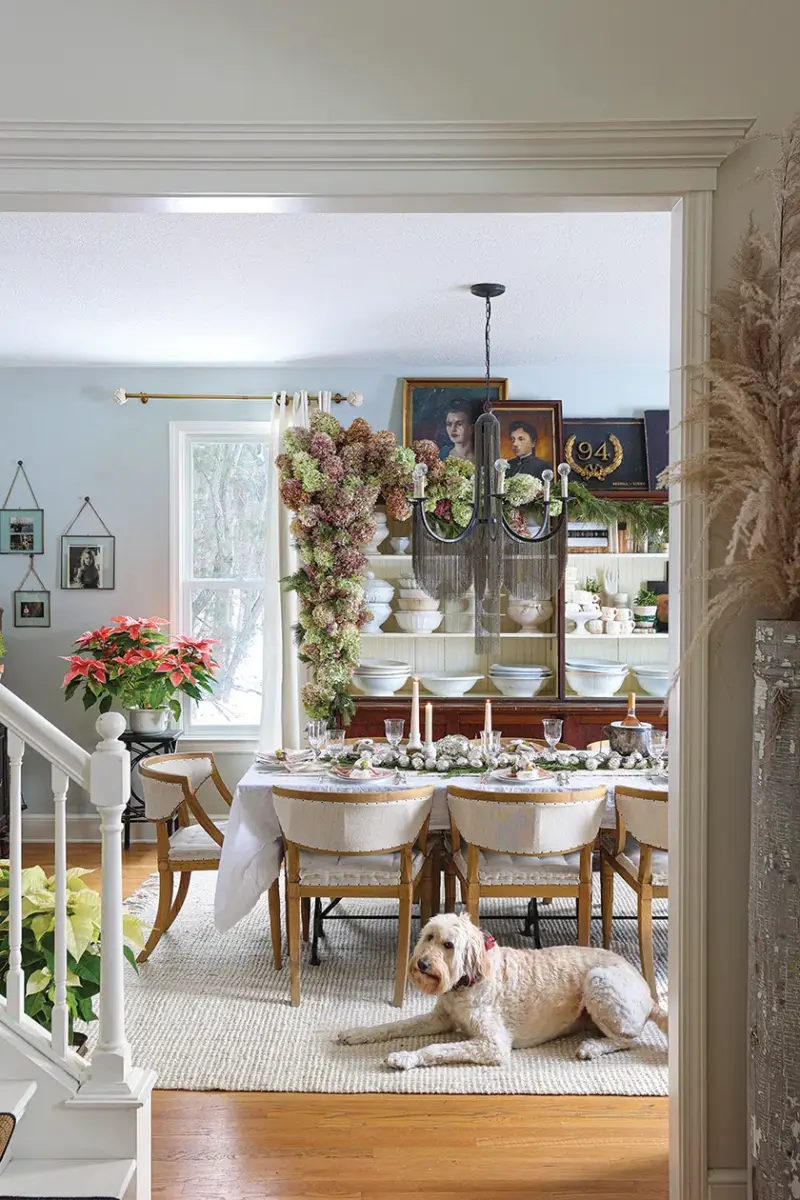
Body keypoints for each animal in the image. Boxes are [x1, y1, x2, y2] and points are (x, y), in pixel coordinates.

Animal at [338, 907, 671, 1070]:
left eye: (449, 945)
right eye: (429, 937)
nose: (421, 964)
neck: (467, 982)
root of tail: (650, 995)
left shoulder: (491, 1045)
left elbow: (435, 1049)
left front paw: (403, 1058)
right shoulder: (439, 1019)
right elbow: (395, 1024)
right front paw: (357, 1033)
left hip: (598, 982)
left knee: (629, 1040)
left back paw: (592, 1047)